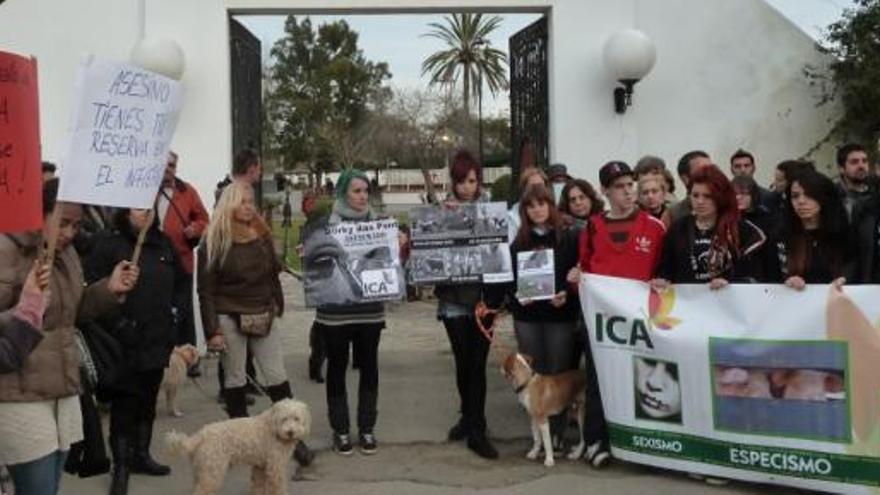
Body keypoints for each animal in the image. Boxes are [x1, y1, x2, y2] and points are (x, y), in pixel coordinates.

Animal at [167, 400, 312, 495]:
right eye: (284, 419)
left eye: (296, 418)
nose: (290, 432)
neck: (272, 427)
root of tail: (200, 435)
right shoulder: (275, 467)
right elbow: (279, 488)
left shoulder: (260, 466)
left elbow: (258, 486)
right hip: (212, 473)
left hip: (201, 471)